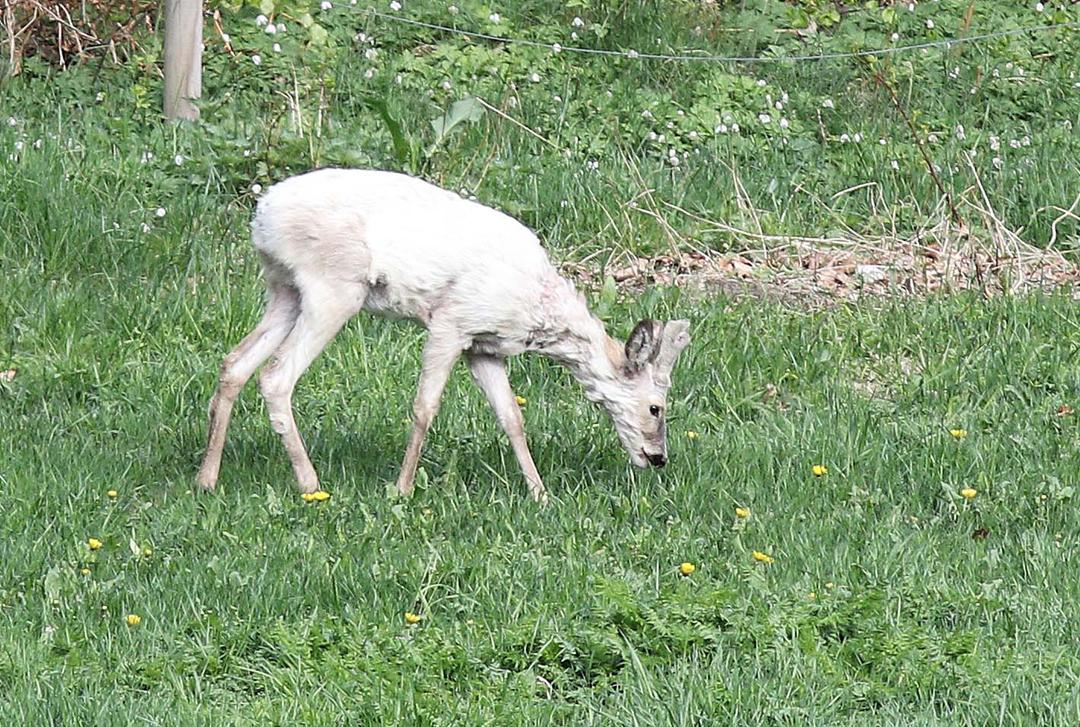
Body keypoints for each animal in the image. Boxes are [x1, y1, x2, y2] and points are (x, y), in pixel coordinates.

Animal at [198, 170, 691, 501]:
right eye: (656, 406)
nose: (658, 458)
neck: (535, 305)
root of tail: (262, 216)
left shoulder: (484, 347)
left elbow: (511, 416)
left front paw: (540, 493)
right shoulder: (450, 322)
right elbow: (425, 407)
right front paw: (401, 489)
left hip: (285, 289)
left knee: (235, 363)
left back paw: (207, 478)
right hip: (334, 287)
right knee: (277, 375)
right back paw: (310, 483)